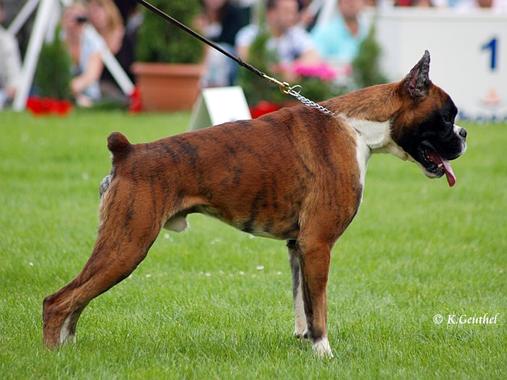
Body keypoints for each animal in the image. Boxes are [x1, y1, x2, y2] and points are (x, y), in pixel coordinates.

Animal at [43, 52, 468, 358]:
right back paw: (53, 356)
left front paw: (306, 345)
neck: (356, 127)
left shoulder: (299, 246)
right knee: (57, 301)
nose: (465, 134)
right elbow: (321, 306)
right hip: (127, 245)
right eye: (446, 117)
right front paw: (325, 354)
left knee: (75, 300)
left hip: (119, 245)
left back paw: (69, 350)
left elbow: (304, 305)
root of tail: (127, 152)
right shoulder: (318, 244)